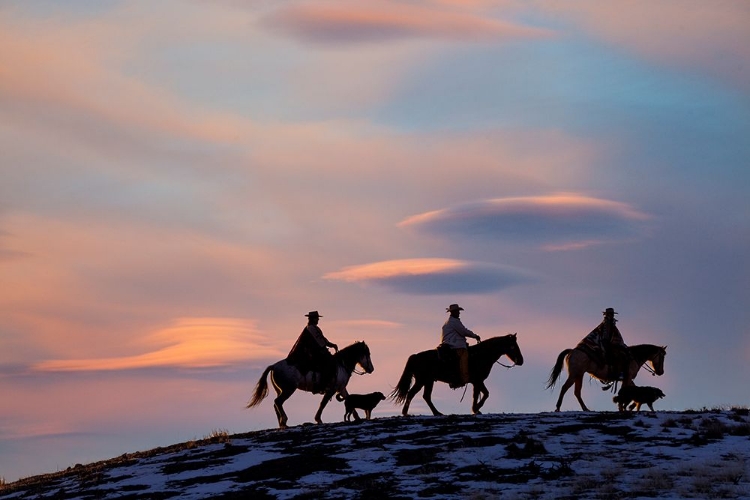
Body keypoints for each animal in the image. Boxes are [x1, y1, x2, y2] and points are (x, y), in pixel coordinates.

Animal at [394, 334, 524, 416]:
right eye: (513, 346)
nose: (521, 361)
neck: (481, 355)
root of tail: (415, 356)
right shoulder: (478, 381)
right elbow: (482, 394)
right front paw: (476, 409)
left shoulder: (477, 382)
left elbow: (480, 394)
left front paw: (476, 409)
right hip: (422, 381)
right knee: (412, 394)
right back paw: (407, 413)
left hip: (428, 381)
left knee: (426, 396)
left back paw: (436, 413)